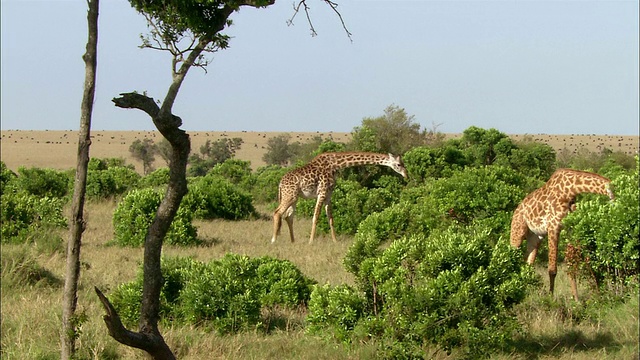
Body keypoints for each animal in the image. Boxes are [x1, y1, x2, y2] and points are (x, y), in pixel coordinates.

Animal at [272, 152, 408, 245]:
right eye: (399, 164)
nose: (406, 175)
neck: (335, 164)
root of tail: (280, 183)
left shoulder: (328, 194)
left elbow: (330, 218)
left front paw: (335, 241)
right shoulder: (322, 192)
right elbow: (316, 216)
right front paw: (311, 242)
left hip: (294, 198)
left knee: (288, 217)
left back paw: (293, 241)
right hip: (289, 196)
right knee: (277, 212)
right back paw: (274, 240)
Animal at [510, 169, 616, 300]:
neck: (570, 190)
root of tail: (516, 210)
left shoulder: (571, 228)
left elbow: (579, 263)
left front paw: (583, 297)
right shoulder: (553, 226)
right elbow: (552, 269)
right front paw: (550, 298)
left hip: (535, 237)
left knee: (528, 262)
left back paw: (525, 290)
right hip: (517, 232)